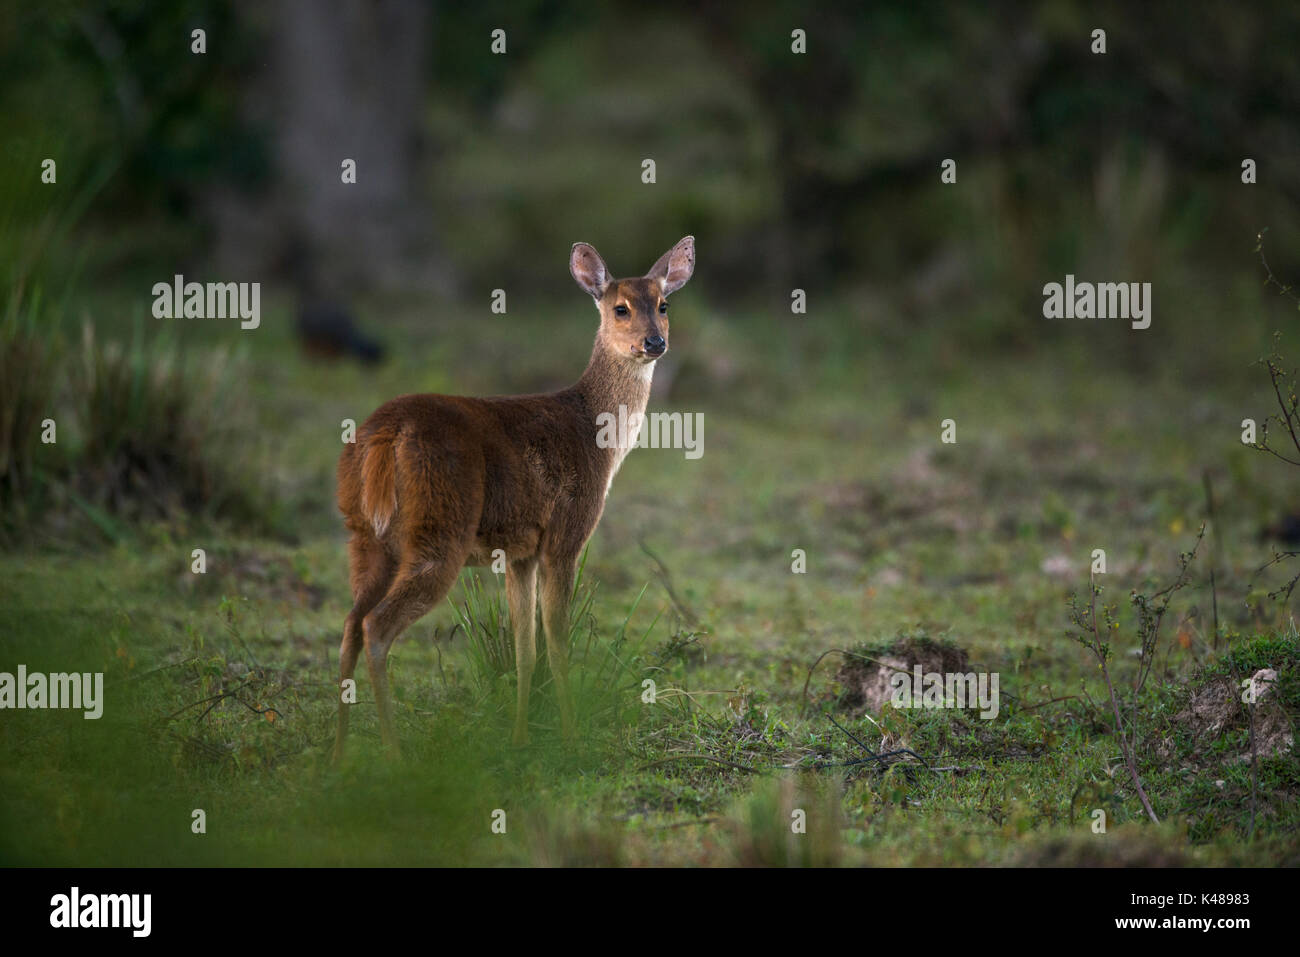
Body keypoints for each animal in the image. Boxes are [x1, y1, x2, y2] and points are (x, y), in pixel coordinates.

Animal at [333, 236, 695, 760]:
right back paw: (394, 753)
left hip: (363, 534)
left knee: (349, 624)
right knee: (375, 627)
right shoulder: (566, 535)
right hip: (439, 528)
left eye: (663, 304)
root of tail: (386, 434)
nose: (654, 343)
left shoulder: (520, 551)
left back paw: (336, 756)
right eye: (620, 308)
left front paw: (522, 737)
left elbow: (525, 648)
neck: (598, 436)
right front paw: (569, 738)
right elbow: (558, 644)